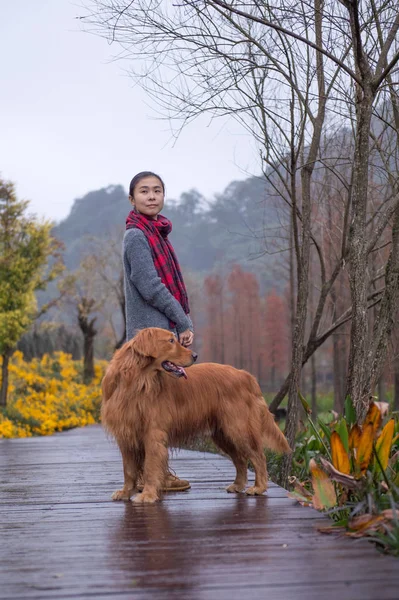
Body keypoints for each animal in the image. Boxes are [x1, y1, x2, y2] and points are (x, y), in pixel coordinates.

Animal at [102, 326, 290, 504]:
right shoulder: (126, 434)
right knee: (240, 459)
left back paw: (259, 487)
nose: (195, 355)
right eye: (170, 341)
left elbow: (150, 467)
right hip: (223, 434)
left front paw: (147, 495)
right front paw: (126, 492)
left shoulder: (153, 433)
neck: (135, 381)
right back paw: (238, 485)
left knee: (258, 456)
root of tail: (245, 375)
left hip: (239, 428)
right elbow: (129, 469)